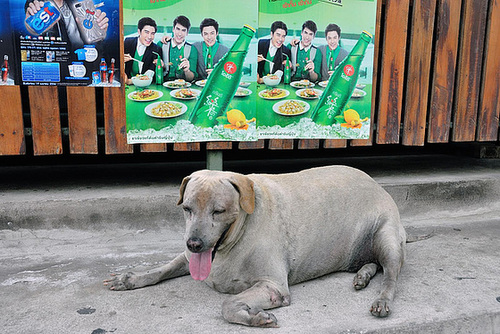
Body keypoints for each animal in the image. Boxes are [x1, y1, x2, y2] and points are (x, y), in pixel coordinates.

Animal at [104, 166, 406, 328]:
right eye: (187, 208)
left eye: (218, 211)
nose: (194, 243)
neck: (234, 240)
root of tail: (373, 180)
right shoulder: (189, 257)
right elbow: (163, 268)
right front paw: (131, 278)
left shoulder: (273, 287)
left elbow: (227, 304)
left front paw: (255, 317)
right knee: (372, 263)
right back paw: (362, 275)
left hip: (387, 235)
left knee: (391, 274)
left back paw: (381, 298)